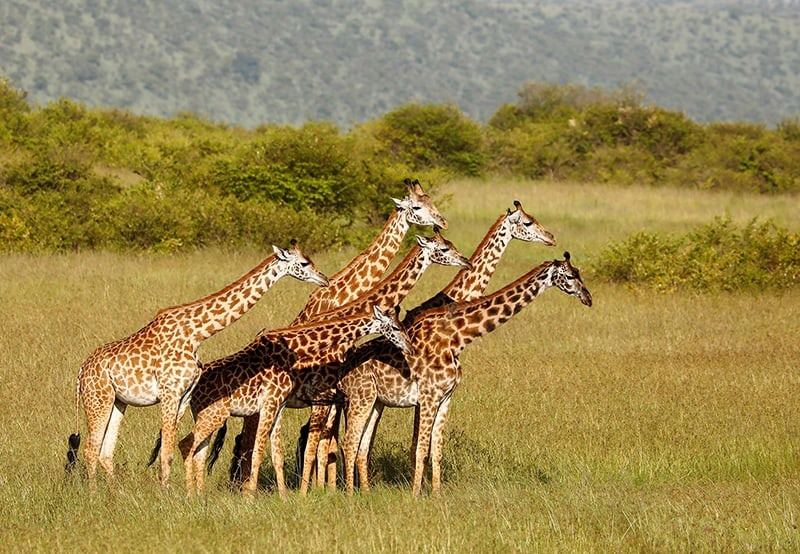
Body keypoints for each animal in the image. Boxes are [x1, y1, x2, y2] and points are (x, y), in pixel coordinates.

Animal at [65, 239, 328, 486]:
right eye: (304, 263)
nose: (324, 279)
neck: (196, 334)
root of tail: (80, 373)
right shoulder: (169, 392)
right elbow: (167, 451)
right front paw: (166, 494)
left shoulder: (184, 396)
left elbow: (174, 448)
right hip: (98, 399)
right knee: (90, 450)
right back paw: (94, 495)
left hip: (118, 402)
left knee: (105, 452)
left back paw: (112, 495)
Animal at [174, 304, 412, 494]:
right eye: (396, 328)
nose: (410, 348)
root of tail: (193, 388)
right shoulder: (293, 402)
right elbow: (297, 449)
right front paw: (299, 493)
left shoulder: (288, 405)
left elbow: (283, 452)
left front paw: (289, 495)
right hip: (217, 414)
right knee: (193, 445)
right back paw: (194, 494)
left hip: (212, 416)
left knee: (202, 451)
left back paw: (202, 494)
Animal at [216, 229, 472, 492]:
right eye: (443, 249)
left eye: (450, 243)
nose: (467, 262)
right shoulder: (327, 396)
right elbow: (320, 446)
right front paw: (312, 491)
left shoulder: (337, 398)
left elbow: (330, 445)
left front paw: (328, 488)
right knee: (247, 441)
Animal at [338, 250, 592, 496]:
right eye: (570, 276)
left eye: (579, 273)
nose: (588, 298)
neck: (457, 339)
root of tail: (343, 375)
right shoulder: (428, 397)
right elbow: (421, 449)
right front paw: (415, 496)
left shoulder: (445, 397)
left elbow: (436, 450)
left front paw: (436, 495)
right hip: (361, 398)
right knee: (349, 443)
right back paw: (350, 495)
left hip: (376, 401)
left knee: (361, 446)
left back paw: (366, 492)